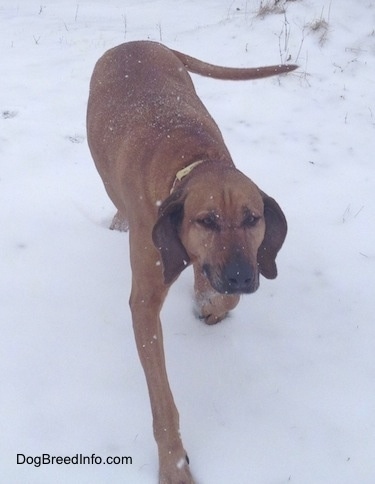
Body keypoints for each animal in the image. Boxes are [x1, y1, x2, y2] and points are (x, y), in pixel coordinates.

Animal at [86, 42, 296, 484]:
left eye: (253, 219)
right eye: (207, 220)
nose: (240, 277)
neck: (194, 161)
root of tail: (139, 41)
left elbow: (216, 290)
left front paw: (210, 304)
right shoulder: (145, 301)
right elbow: (162, 400)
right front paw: (174, 464)